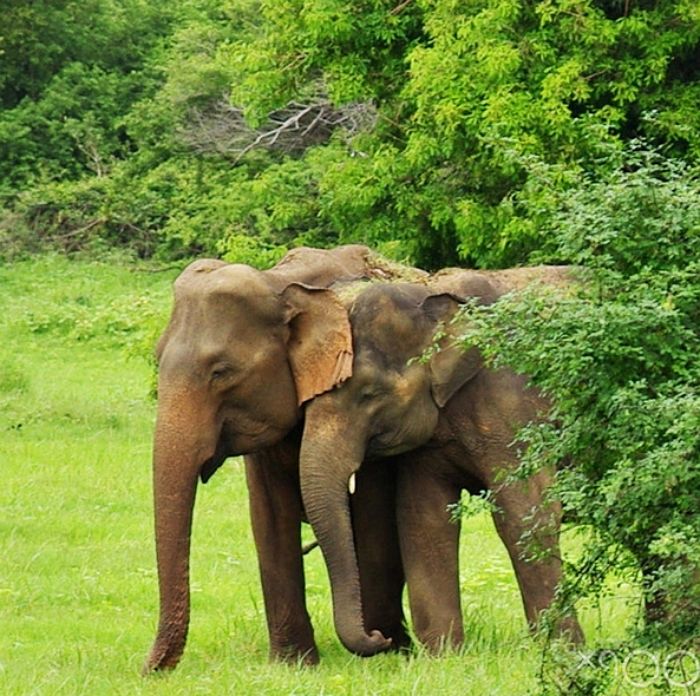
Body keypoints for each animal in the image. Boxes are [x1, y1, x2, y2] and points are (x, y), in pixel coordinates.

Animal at [139, 246, 418, 676]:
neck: (280, 284)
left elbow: (371, 513)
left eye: (222, 372)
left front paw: (387, 650)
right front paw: (293, 665)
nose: (148, 669)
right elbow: (269, 516)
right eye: (156, 359)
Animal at [296, 266, 584, 652]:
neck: (427, 296)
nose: (381, 637)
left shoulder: (513, 407)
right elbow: (423, 520)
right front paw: (444, 654)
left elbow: (528, 513)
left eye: (369, 394)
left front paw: (564, 651)